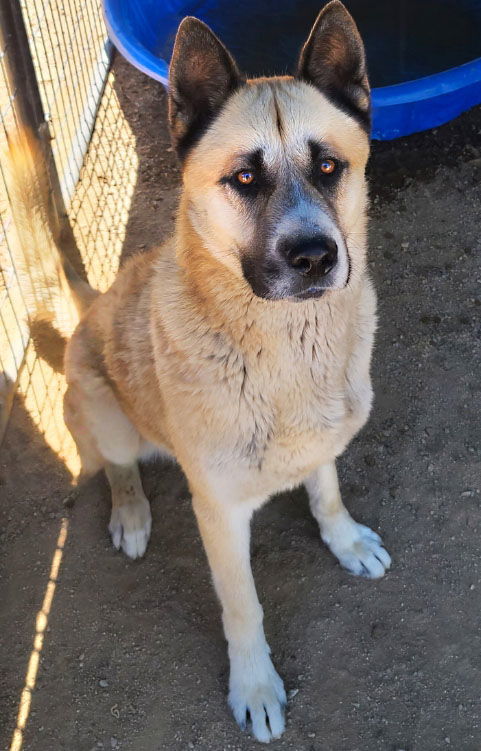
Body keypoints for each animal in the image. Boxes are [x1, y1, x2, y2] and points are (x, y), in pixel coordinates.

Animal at [8, 0, 390, 740]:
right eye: (244, 178)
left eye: (330, 166)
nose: (313, 257)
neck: (286, 348)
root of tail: (95, 306)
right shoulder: (218, 511)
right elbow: (242, 608)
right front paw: (256, 686)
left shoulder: (322, 445)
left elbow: (325, 492)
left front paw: (344, 539)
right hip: (106, 413)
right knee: (116, 467)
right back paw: (130, 515)